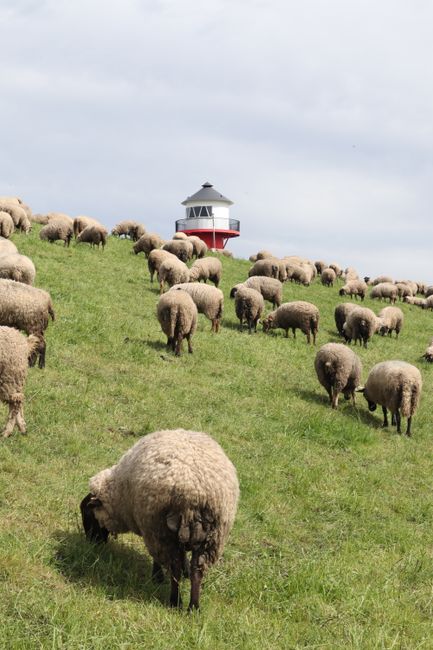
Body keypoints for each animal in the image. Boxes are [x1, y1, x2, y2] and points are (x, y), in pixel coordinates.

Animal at [80, 428, 239, 610]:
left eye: (87, 514)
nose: (92, 543)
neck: (120, 498)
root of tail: (196, 493)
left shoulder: (150, 528)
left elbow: (159, 559)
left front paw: (157, 577)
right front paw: (183, 570)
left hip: (161, 529)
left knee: (174, 567)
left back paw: (175, 602)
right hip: (212, 538)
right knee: (198, 570)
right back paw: (194, 607)